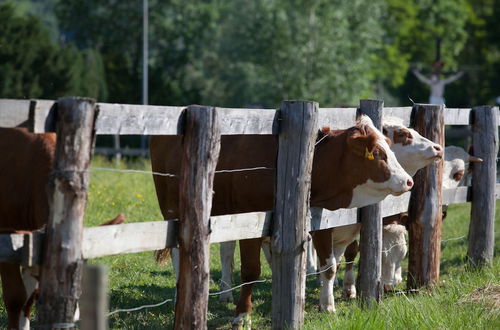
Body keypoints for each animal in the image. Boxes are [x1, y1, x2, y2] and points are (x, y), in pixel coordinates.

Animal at [149, 114, 414, 326]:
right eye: (377, 153)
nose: (408, 181)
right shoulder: (252, 224)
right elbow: (251, 270)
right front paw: (243, 315)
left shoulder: (318, 223)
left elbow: (328, 267)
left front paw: (325, 304)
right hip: (173, 210)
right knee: (178, 251)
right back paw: (181, 294)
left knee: (226, 250)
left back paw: (226, 293)